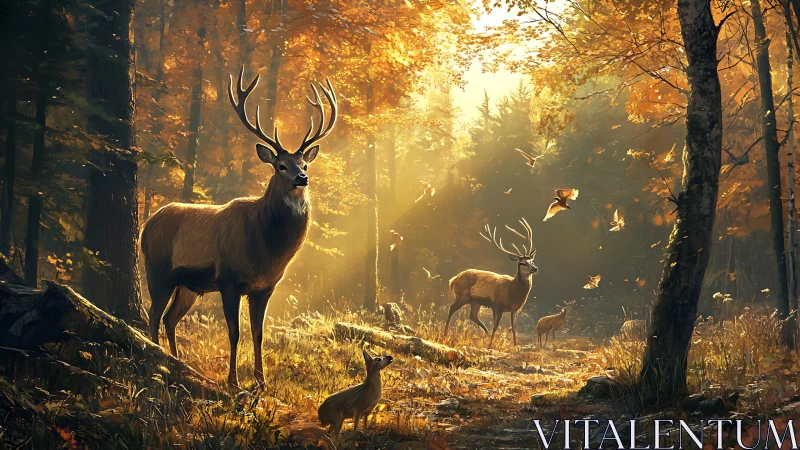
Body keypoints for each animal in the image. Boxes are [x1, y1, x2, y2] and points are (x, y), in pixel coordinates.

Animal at [140, 66, 337, 386]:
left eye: (304, 165)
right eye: (281, 165)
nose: (302, 178)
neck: (267, 249)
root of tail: (146, 225)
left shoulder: (265, 287)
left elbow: (258, 333)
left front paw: (261, 380)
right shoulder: (228, 279)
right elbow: (234, 332)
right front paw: (233, 381)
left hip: (188, 285)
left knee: (170, 318)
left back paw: (177, 362)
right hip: (157, 268)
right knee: (153, 315)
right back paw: (157, 363)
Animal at [445, 218, 538, 348]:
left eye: (532, 260)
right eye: (522, 263)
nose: (535, 268)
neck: (512, 292)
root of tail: (454, 279)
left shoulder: (516, 309)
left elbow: (514, 329)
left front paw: (515, 345)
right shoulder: (497, 305)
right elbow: (495, 326)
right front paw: (490, 345)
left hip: (475, 301)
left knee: (472, 315)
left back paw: (485, 333)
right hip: (462, 295)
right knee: (452, 308)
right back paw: (445, 333)